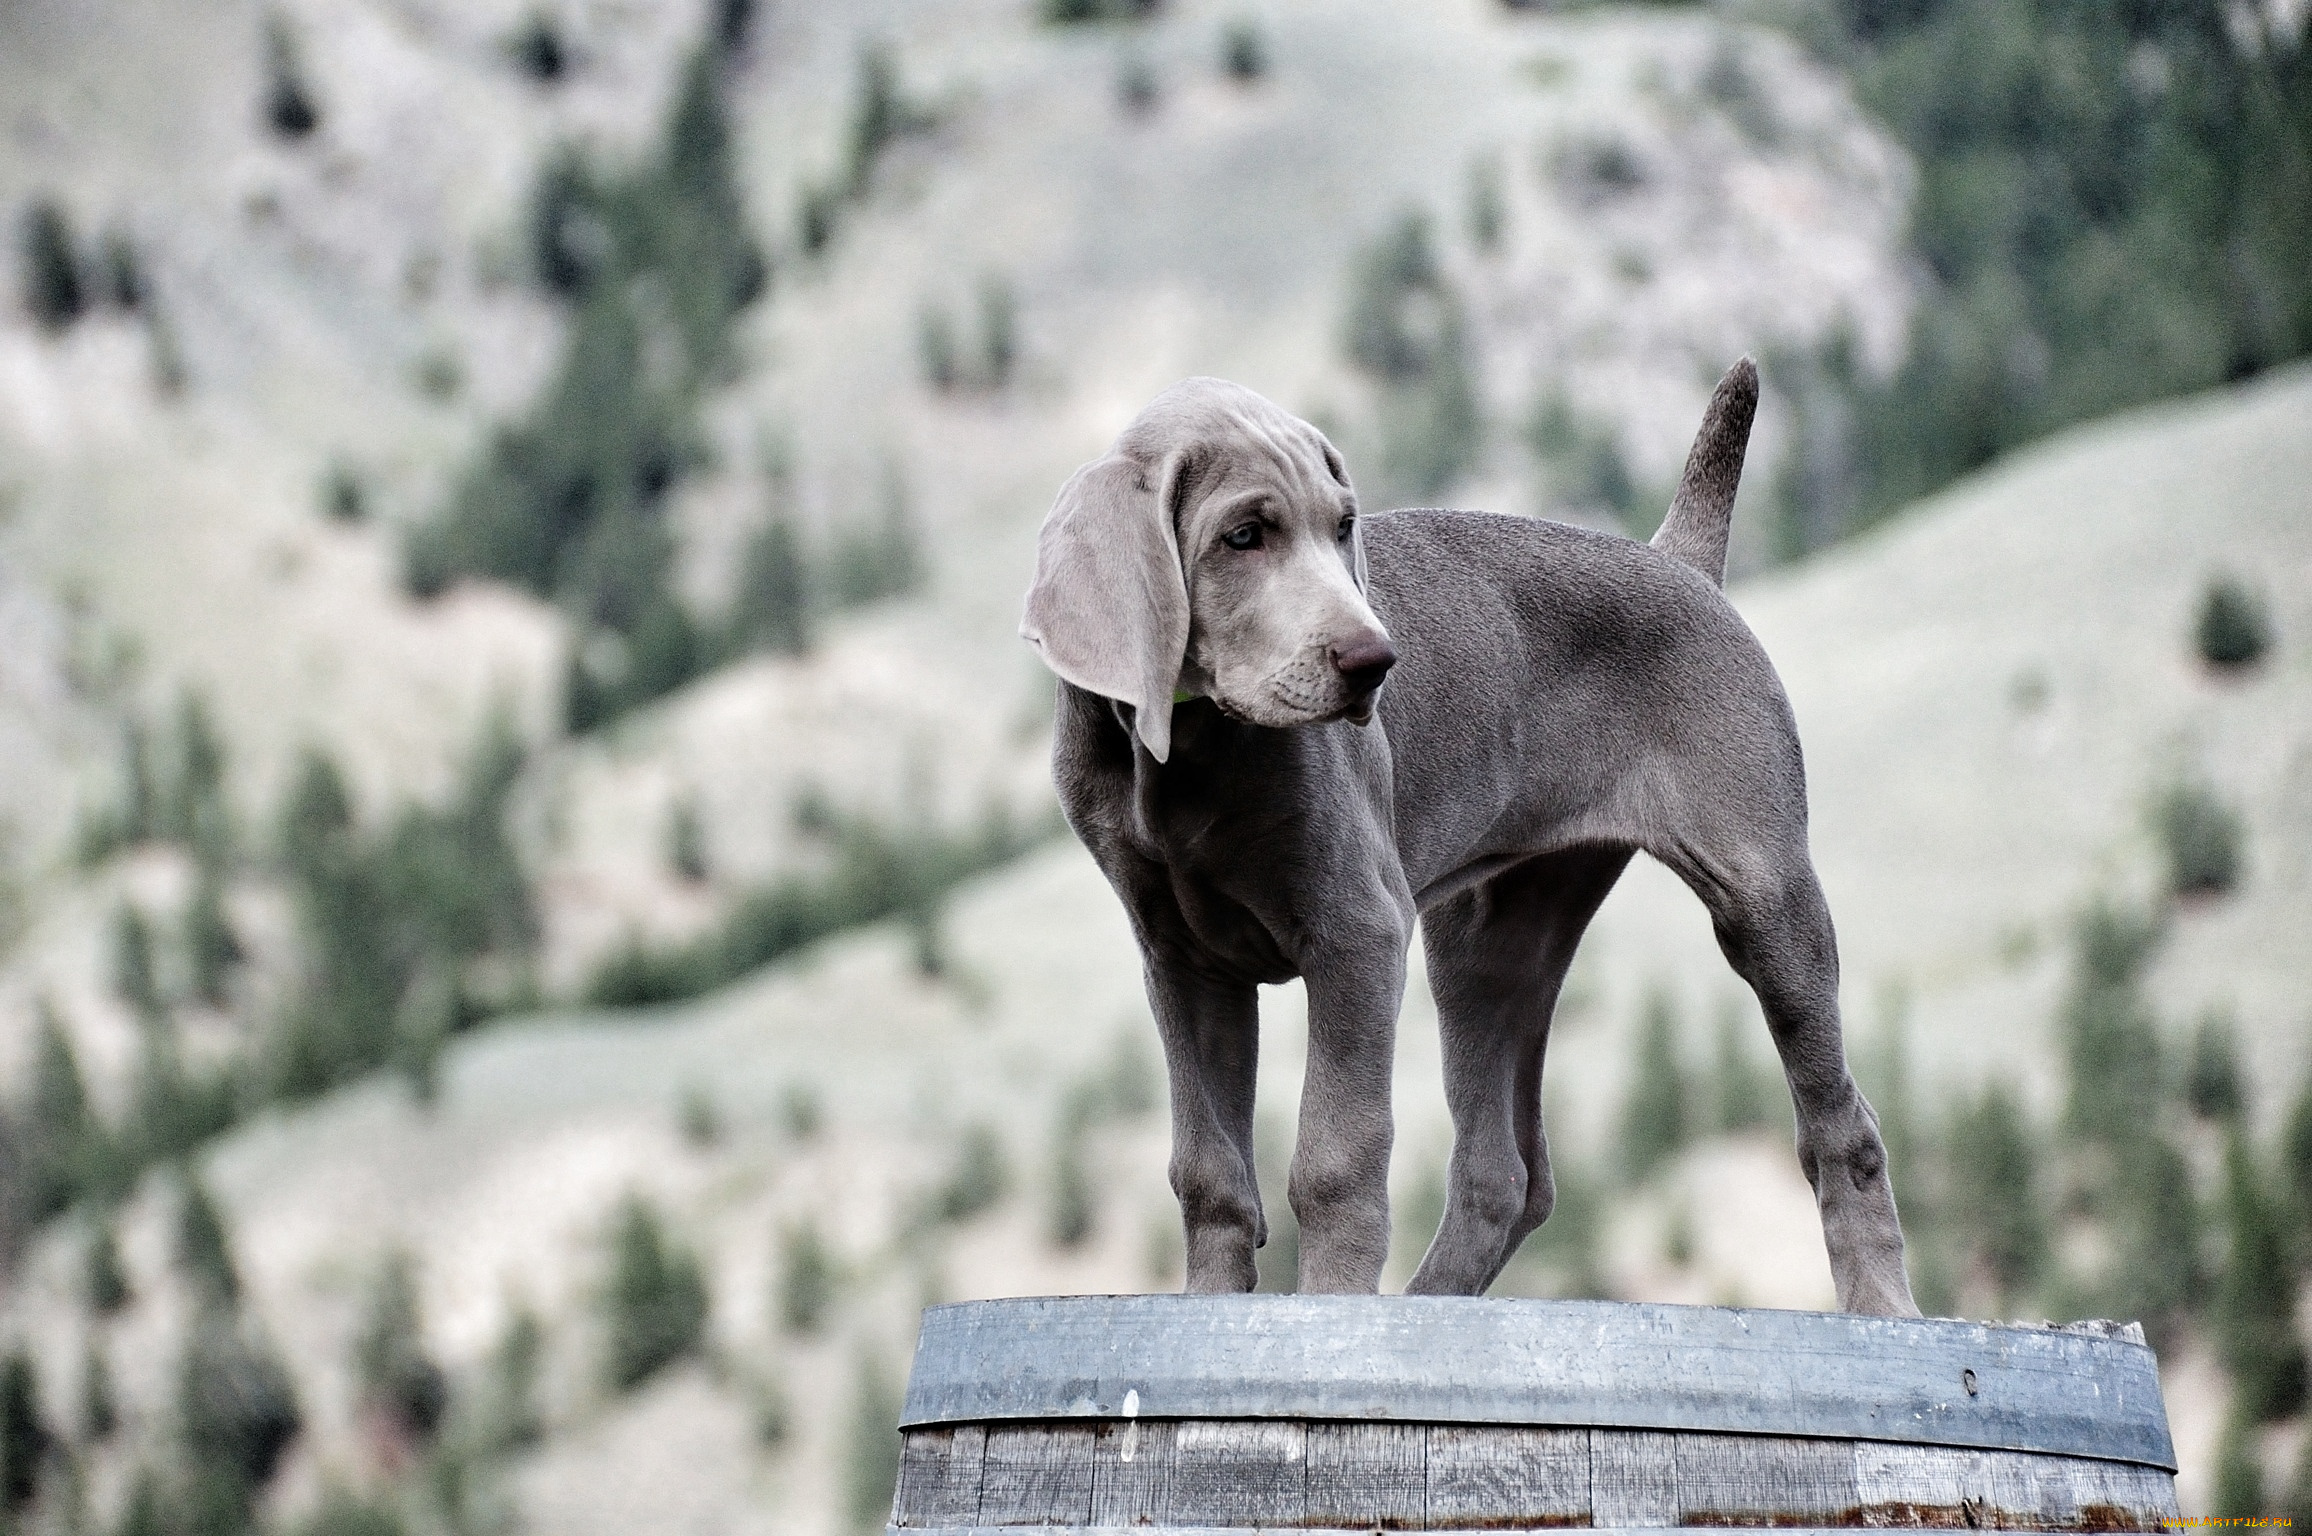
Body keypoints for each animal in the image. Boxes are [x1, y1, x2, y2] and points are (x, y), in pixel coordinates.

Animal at [1026, 363, 1914, 1323]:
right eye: (1244, 536)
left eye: (1343, 528)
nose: (1375, 661)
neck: (1190, 751)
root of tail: (1680, 562)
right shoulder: (1183, 962)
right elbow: (1209, 1172)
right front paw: (1212, 1305)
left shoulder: (1359, 933)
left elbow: (1335, 1157)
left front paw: (1333, 1304)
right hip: (1489, 939)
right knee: (1505, 1175)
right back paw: (1429, 1299)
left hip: (1762, 894)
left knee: (1843, 1125)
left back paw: (1884, 1306)